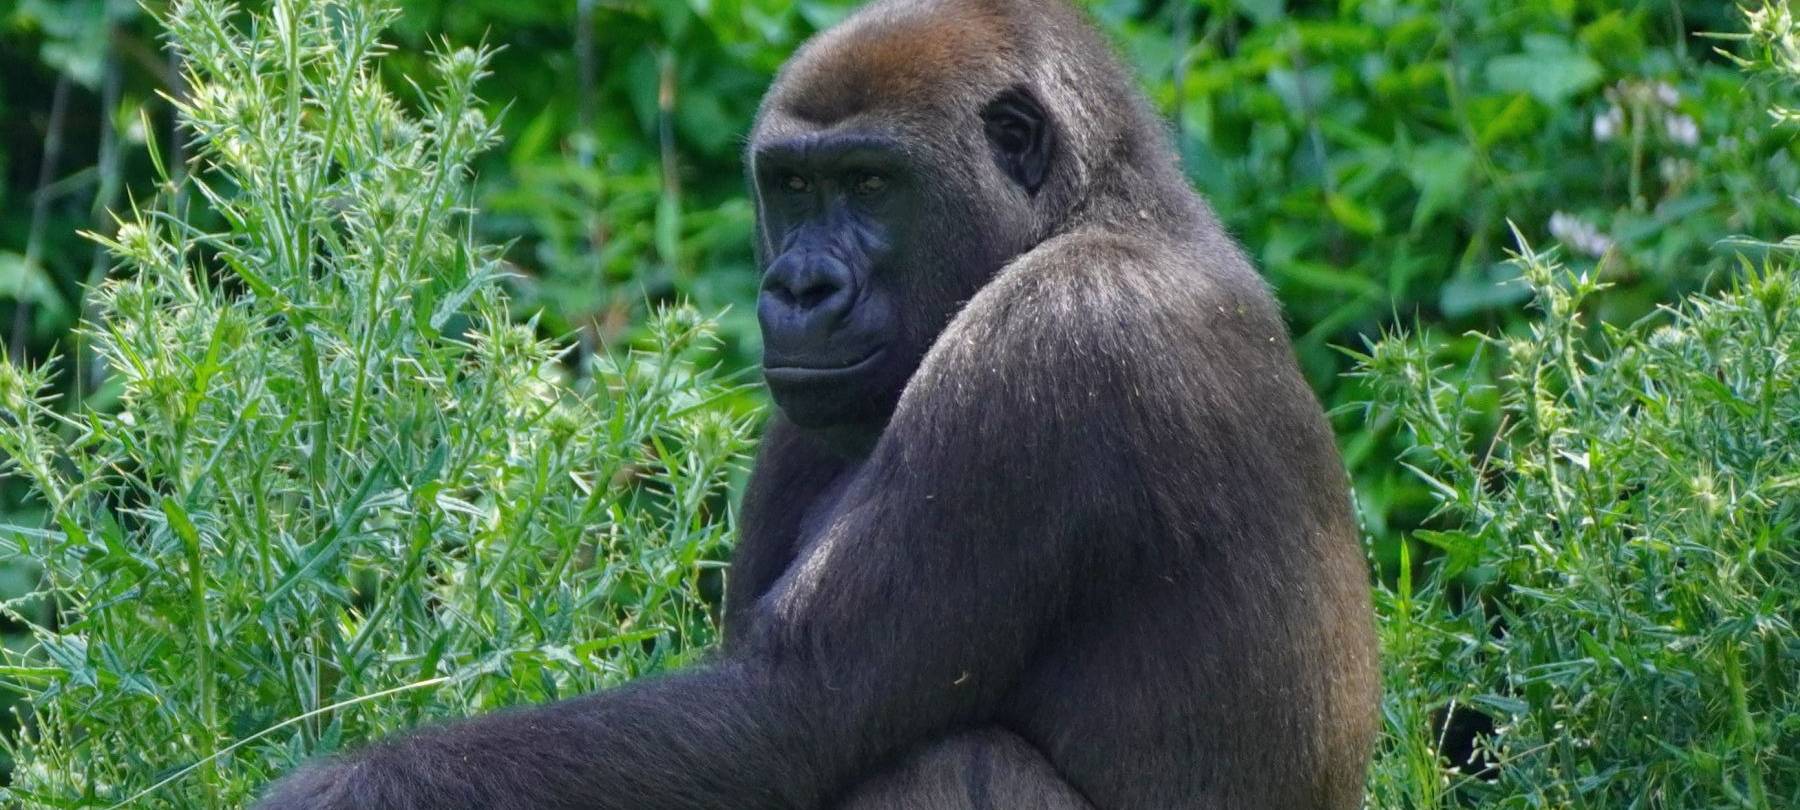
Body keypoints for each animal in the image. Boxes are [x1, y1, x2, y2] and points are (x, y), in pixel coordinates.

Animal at [255, 0, 1378, 807]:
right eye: (792, 188)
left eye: (871, 185)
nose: (798, 289)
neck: (1099, 204)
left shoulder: (1062, 338)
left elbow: (790, 710)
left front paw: (346, 792)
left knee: (944, 761)